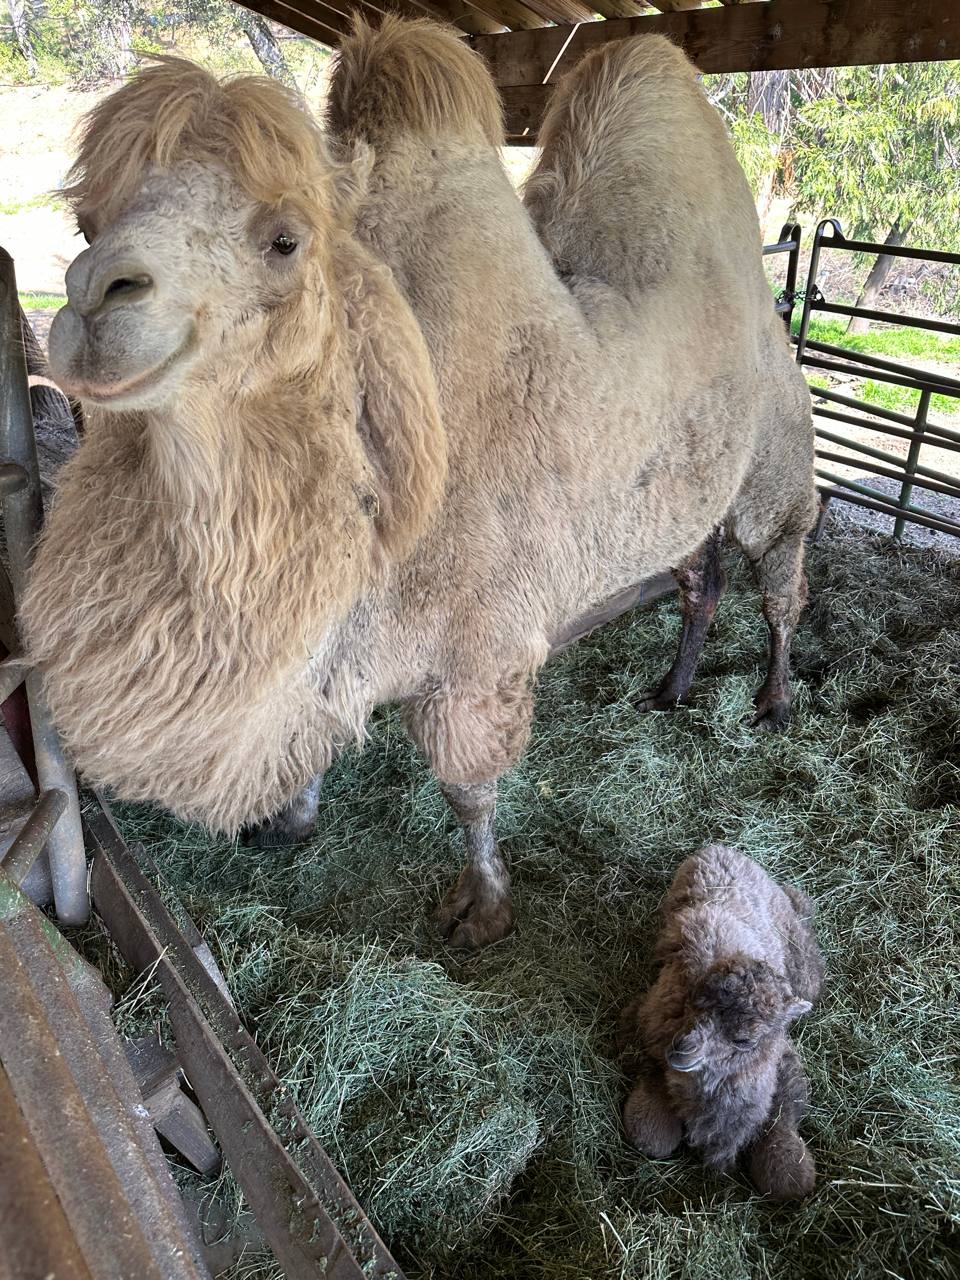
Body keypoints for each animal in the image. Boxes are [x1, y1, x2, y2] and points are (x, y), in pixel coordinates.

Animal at [22, 19, 816, 947]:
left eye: (285, 239)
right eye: (85, 222)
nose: (94, 298)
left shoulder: (479, 648)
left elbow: (468, 790)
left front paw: (483, 908)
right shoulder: (342, 639)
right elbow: (324, 732)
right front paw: (291, 820)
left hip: (775, 458)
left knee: (781, 572)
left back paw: (772, 701)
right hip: (683, 500)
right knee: (700, 578)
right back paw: (673, 688)